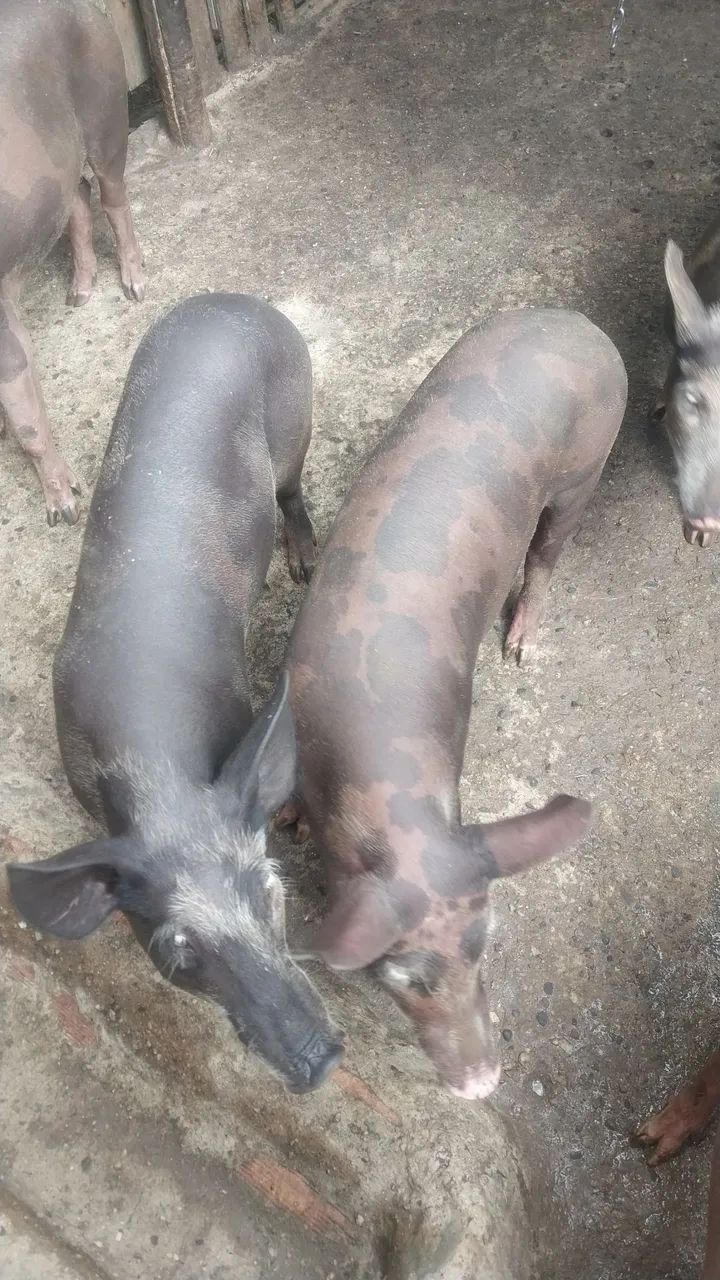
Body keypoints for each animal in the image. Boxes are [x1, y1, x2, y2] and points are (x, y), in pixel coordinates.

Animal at [1, 0, 145, 526]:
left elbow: (27, 423)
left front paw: (64, 512)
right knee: (78, 194)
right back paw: (77, 297)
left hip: (107, 109)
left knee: (111, 194)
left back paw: (135, 288)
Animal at [6, 294, 345, 1093]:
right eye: (181, 954)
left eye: (273, 892)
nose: (319, 1058)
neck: (159, 777)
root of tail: (233, 300)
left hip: (296, 409)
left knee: (292, 490)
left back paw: (304, 564)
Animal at [285, 307, 627, 1099]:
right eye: (403, 977)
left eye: (485, 946)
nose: (483, 1083)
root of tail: (583, 327)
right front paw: (285, 823)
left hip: (586, 468)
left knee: (546, 556)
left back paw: (520, 650)